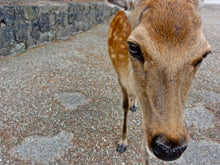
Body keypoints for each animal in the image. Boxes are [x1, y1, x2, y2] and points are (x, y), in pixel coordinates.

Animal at [105, 0, 211, 163]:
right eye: (133, 47)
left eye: (204, 55)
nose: (169, 149)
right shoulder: (120, 77)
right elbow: (124, 106)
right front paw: (122, 143)